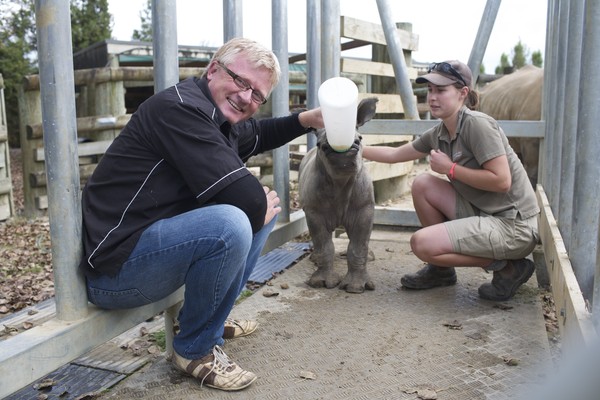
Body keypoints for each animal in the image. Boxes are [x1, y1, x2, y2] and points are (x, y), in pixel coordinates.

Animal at [298, 97, 378, 294]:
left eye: (360, 139)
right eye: (319, 145)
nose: (344, 151)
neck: (341, 180)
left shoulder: (365, 208)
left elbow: (358, 245)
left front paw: (356, 288)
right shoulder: (314, 211)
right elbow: (324, 244)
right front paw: (321, 283)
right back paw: (314, 259)